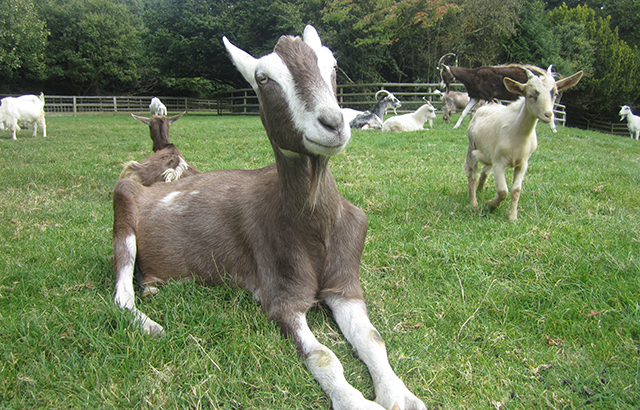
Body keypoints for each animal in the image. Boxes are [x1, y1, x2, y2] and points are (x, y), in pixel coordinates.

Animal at [111, 25, 425, 410]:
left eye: (333, 64)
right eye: (263, 78)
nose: (333, 123)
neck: (314, 231)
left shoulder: (346, 284)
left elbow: (372, 338)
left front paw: (401, 396)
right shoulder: (279, 296)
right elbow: (323, 356)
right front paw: (357, 402)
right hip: (124, 203)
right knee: (121, 293)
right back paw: (150, 324)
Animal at [464, 65, 583, 221]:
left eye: (555, 93)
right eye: (530, 94)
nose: (548, 115)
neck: (517, 135)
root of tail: (485, 106)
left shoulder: (523, 163)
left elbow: (516, 190)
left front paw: (512, 217)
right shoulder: (499, 162)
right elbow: (503, 191)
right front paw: (491, 205)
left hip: (488, 153)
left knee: (484, 171)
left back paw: (479, 189)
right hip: (472, 147)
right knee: (472, 173)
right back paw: (473, 202)